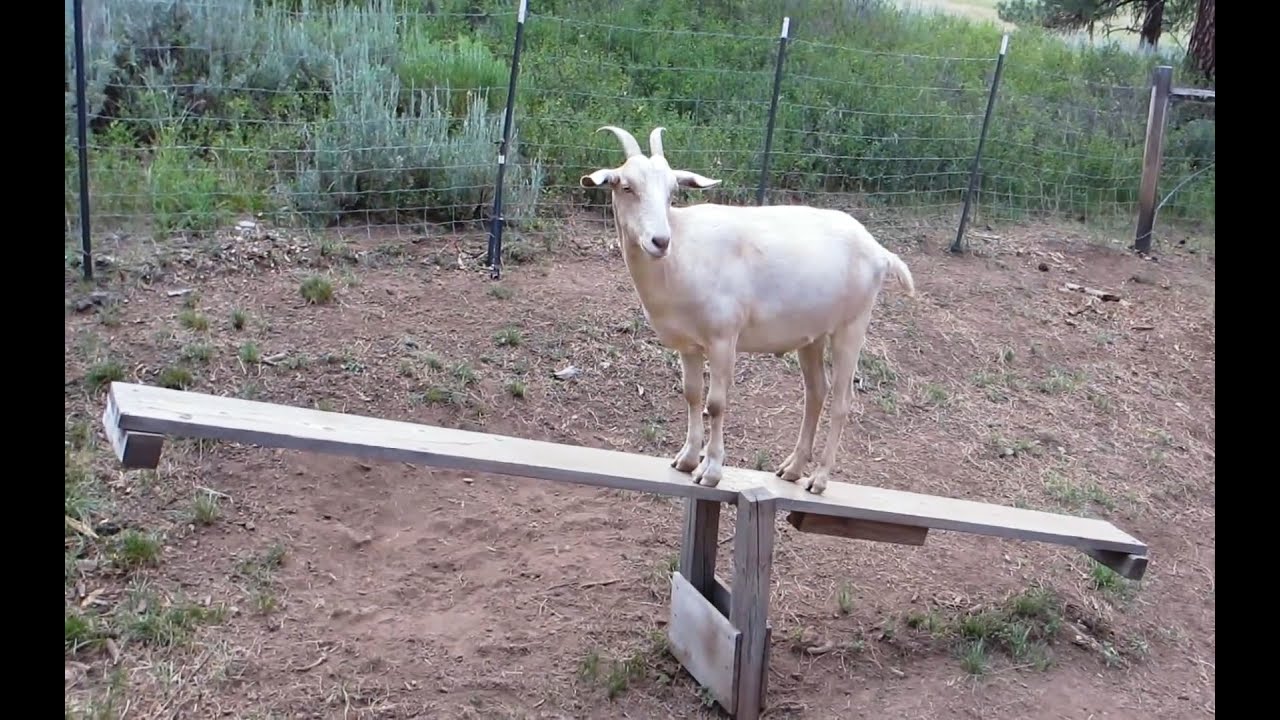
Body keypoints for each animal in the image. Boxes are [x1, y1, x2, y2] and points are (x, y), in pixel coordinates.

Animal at [580, 125, 915, 494]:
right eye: (626, 187)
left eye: (672, 193)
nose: (660, 241)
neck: (683, 255)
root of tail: (880, 251)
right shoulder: (689, 345)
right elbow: (691, 395)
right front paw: (686, 459)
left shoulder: (723, 338)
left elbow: (716, 403)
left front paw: (710, 470)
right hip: (813, 334)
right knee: (816, 392)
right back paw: (792, 469)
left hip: (852, 325)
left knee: (842, 401)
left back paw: (819, 478)